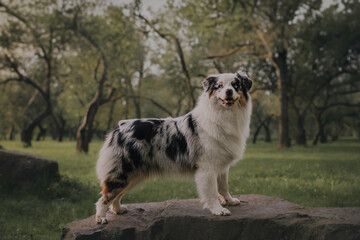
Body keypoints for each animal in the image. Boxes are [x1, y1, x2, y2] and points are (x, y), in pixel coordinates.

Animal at [95, 71, 253, 223]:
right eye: (219, 86)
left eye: (235, 85)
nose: (228, 92)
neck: (224, 115)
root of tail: (118, 127)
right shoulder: (207, 167)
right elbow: (212, 192)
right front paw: (218, 209)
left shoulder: (221, 165)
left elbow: (224, 186)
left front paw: (230, 201)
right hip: (122, 172)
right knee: (104, 197)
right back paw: (101, 218)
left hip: (133, 175)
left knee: (117, 195)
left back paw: (118, 210)